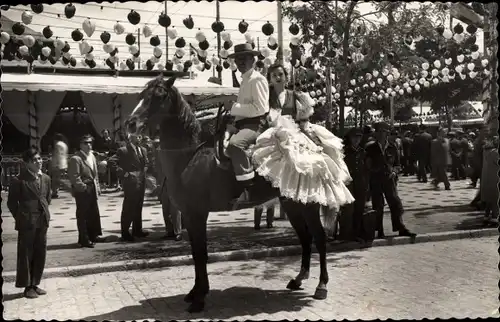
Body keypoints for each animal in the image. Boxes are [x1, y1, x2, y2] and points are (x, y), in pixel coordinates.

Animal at [129, 75, 330, 312]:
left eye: (159, 95)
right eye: (142, 95)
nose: (131, 123)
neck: (190, 157)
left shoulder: (197, 214)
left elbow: (201, 254)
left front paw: (199, 299)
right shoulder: (189, 214)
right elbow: (196, 253)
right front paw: (195, 292)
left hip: (308, 205)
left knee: (320, 237)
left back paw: (321, 286)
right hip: (291, 204)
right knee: (305, 237)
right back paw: (298, 279)